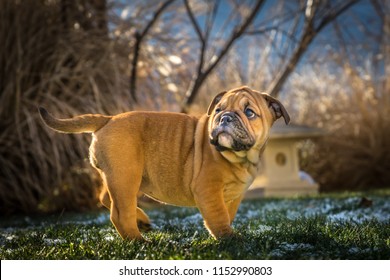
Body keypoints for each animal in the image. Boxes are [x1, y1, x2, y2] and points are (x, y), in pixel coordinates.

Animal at [40, 86, 290, 240]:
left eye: (249, 112)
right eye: (218, 109)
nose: (225, 117)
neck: (239, 157)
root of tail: (108, 119)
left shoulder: (234, 195)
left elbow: (228, 213)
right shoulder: (208, 189)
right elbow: (218, 216)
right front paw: (229, 238)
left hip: (120, 176)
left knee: (106, 199)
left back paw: (142, 222)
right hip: (126, 176)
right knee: (119, 213)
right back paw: (139, 241)